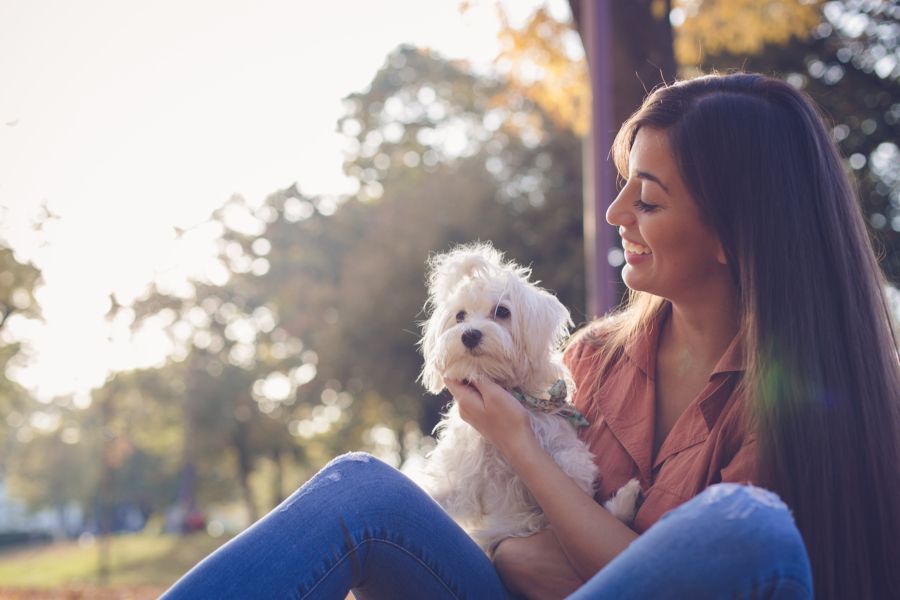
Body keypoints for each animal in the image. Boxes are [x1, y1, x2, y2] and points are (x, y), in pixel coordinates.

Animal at [420, 244, 640, 552]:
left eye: (502, 311)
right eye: (459, 316)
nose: (470, 335)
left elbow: (573, 467)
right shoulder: (461, 482)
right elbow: (442, 493)